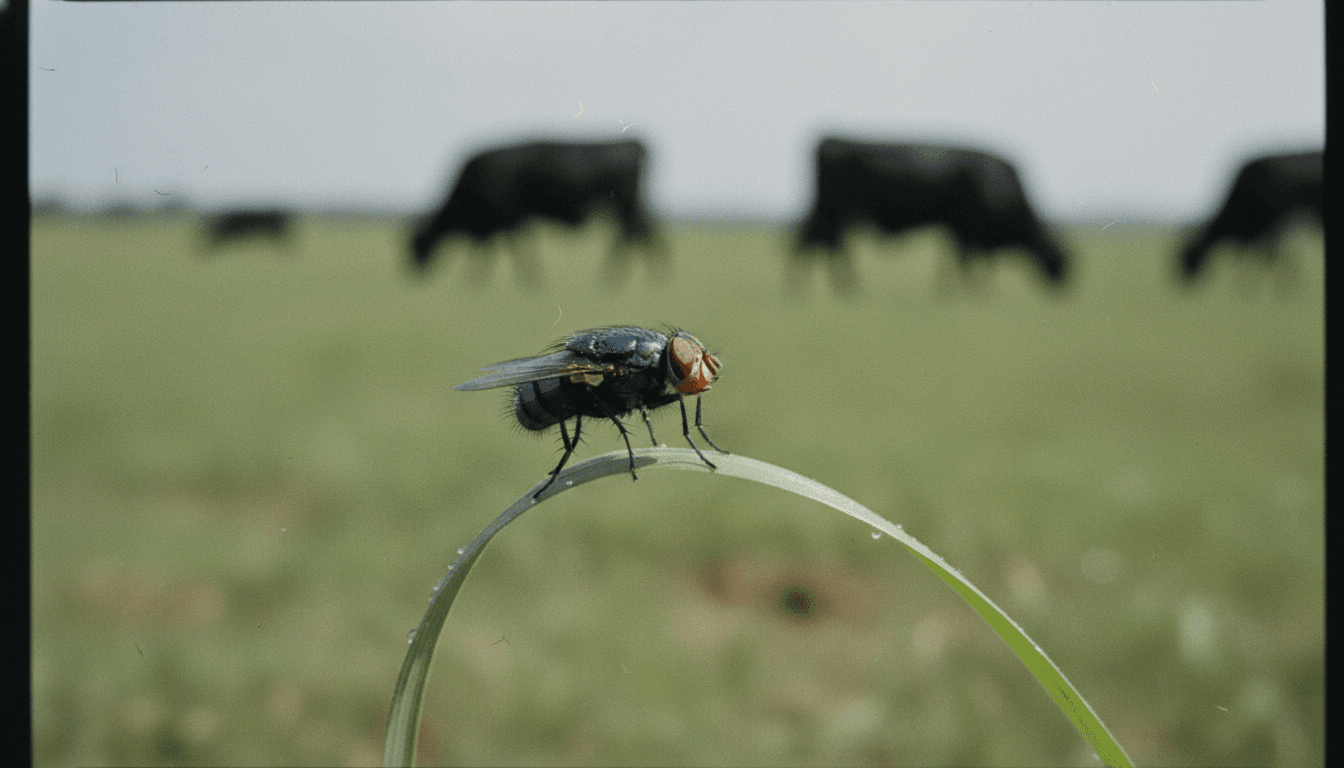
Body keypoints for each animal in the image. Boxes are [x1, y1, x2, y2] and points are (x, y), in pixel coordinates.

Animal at [411, 140, 662, 279]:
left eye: (417, 243)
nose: (413, 273)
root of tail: (635, 144)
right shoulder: (505, 223)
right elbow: (497, 249)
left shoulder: (507, 219)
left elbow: (506, 249)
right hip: (628, 206)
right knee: (642, 234)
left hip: (624, 205)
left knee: (632, 236)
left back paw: (615, 278)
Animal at [795, 138, 1068, 290]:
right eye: (1061, 260)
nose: (1067, 288)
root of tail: (827, 140)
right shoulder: (967, 230)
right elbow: (967, 261)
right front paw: (974, 289)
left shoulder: (959, 230)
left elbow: (961, 260)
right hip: (834, 214)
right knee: (827, 247)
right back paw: (845, 287)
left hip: (832, 216)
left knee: (821, 246)